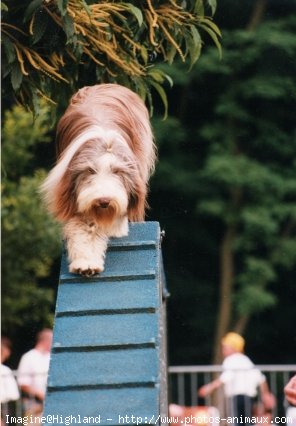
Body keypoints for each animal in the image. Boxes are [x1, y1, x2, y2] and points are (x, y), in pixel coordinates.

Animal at [40, 84, 156, 276]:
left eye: (117, 171)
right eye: (90, 171)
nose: (104, 201)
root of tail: (104, 85)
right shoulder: (76, 196)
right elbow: (85, 230)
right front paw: (86, 264)